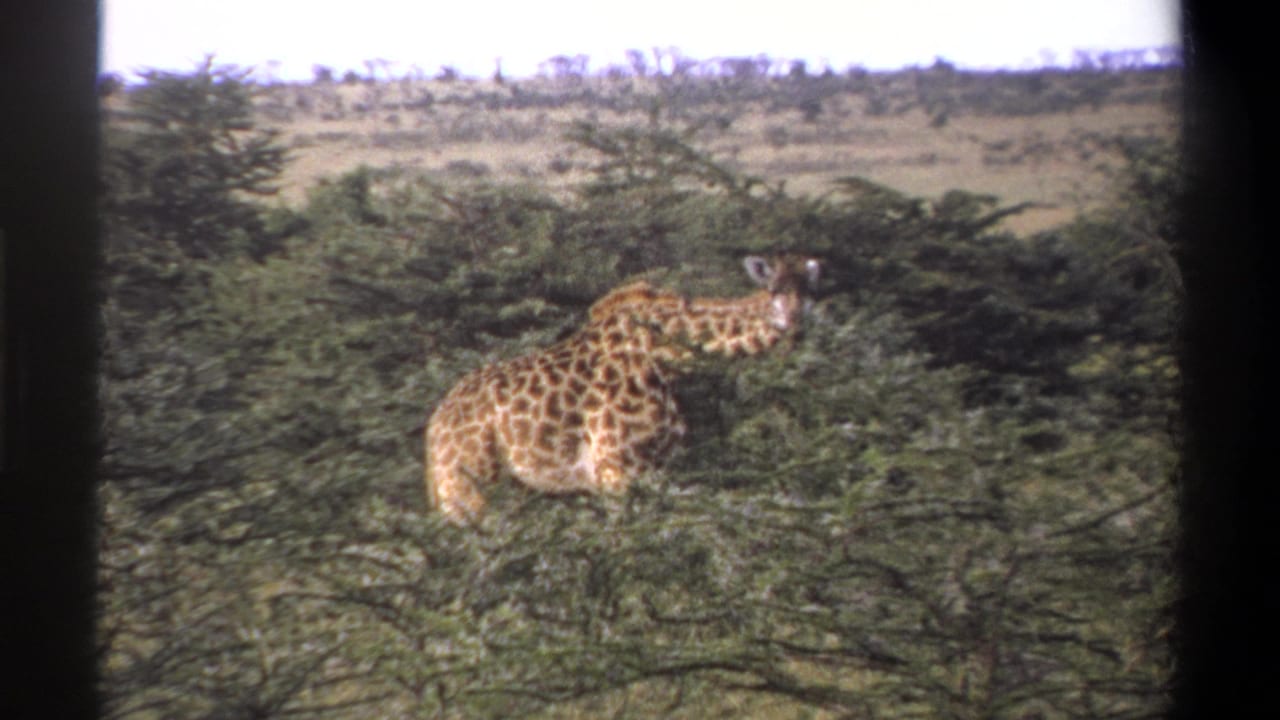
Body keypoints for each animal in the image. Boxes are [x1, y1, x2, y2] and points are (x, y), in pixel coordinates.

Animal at [424, 255, 821, 524]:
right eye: (773, 289)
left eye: (811, 292)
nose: (794, 326)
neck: (667, 355)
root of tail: (434, 428)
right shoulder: (615, 470)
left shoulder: (659, 468)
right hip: (467, 491)